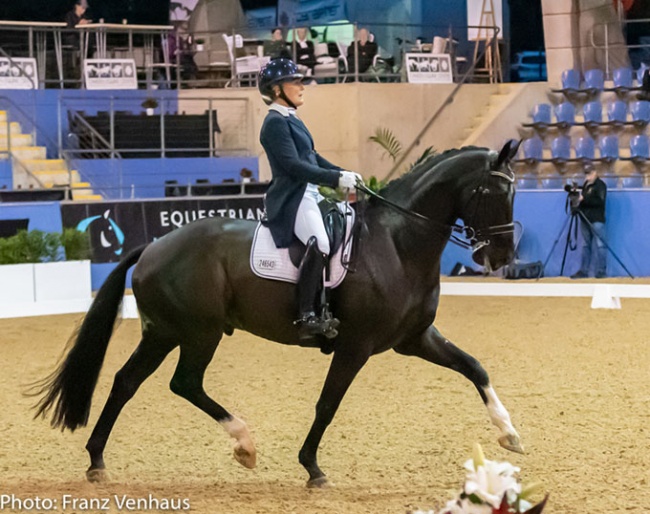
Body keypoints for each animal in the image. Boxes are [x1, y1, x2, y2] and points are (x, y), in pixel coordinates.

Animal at [34, 142, 520, 486]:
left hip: (164, 332)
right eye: (494, 192)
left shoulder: (414, 338)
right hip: (198, 332)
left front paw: (509, 434)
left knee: (126, 382)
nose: (501, 256)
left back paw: (97, 461)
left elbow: (474, 368)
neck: (398, 243)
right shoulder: (356, 346)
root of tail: (153, 246)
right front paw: (312, 468)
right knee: (183, 382)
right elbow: (327, 404)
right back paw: (244, 444)